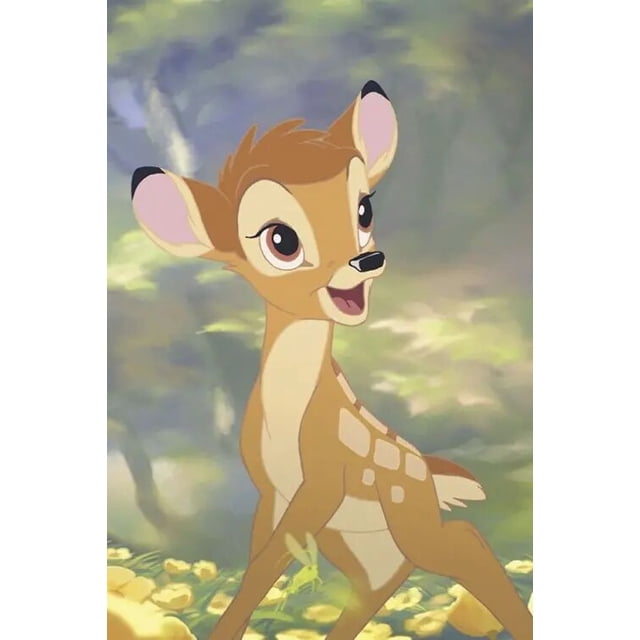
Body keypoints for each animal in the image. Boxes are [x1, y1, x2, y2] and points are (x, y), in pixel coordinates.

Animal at [130, 80, 533, 640]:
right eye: (281, 239)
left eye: (364, 210)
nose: (368, 260)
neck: (290, 413)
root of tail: (433, 478)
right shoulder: (272, 490)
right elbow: (260, 562)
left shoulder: (323, 480)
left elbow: (269, 561)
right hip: (360, 539)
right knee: (378, 582)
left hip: (404, 518)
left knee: (462, 539)